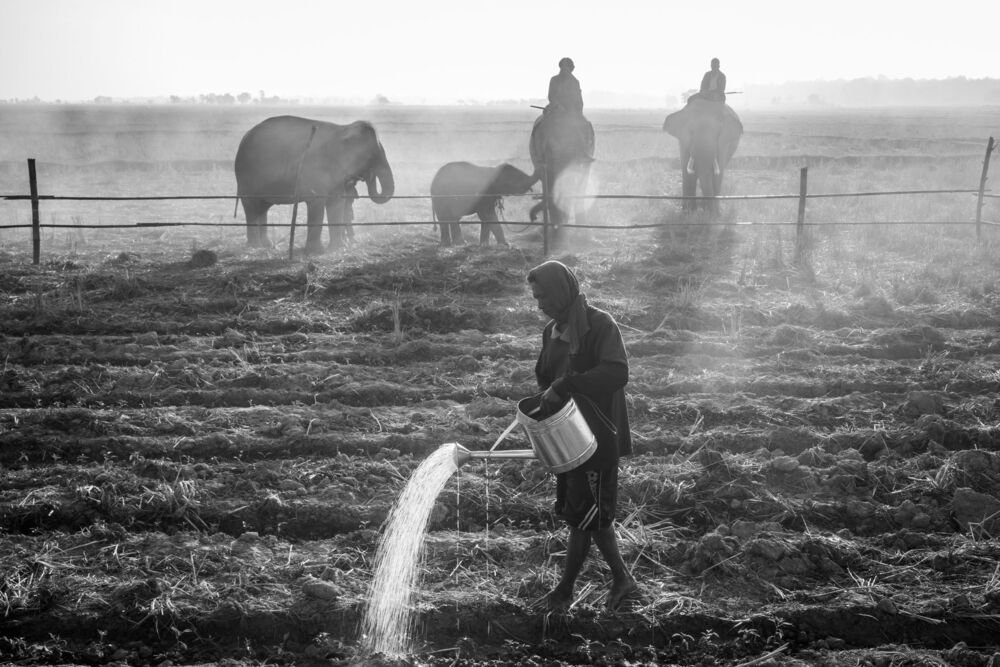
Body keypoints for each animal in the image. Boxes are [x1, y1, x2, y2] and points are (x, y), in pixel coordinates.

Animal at [234, 115, 394, 254]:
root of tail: (244, 137)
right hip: (246, 177)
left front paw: (338, 249)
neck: (343, 129)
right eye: (370, 156)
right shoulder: (315, 169)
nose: (368, 175)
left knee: (262, 207)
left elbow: (337, 203)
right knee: (251, 206)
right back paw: (255, 247)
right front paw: (316, 252)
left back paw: (266, 245)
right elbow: (317, 203)